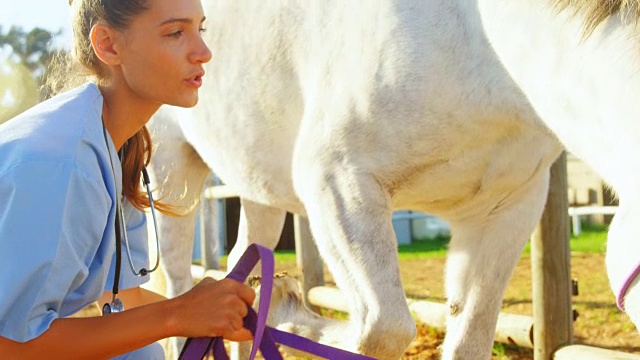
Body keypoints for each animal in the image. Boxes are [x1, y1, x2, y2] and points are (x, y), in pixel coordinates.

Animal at [149, 1, 640, 358]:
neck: (477, 38)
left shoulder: (508, 208)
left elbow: (466, 340)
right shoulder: (338, 181)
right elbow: (383, 329)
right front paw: (280, 306)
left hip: (257, 187)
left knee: (242, 256)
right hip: (172, 176)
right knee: (176, 286)